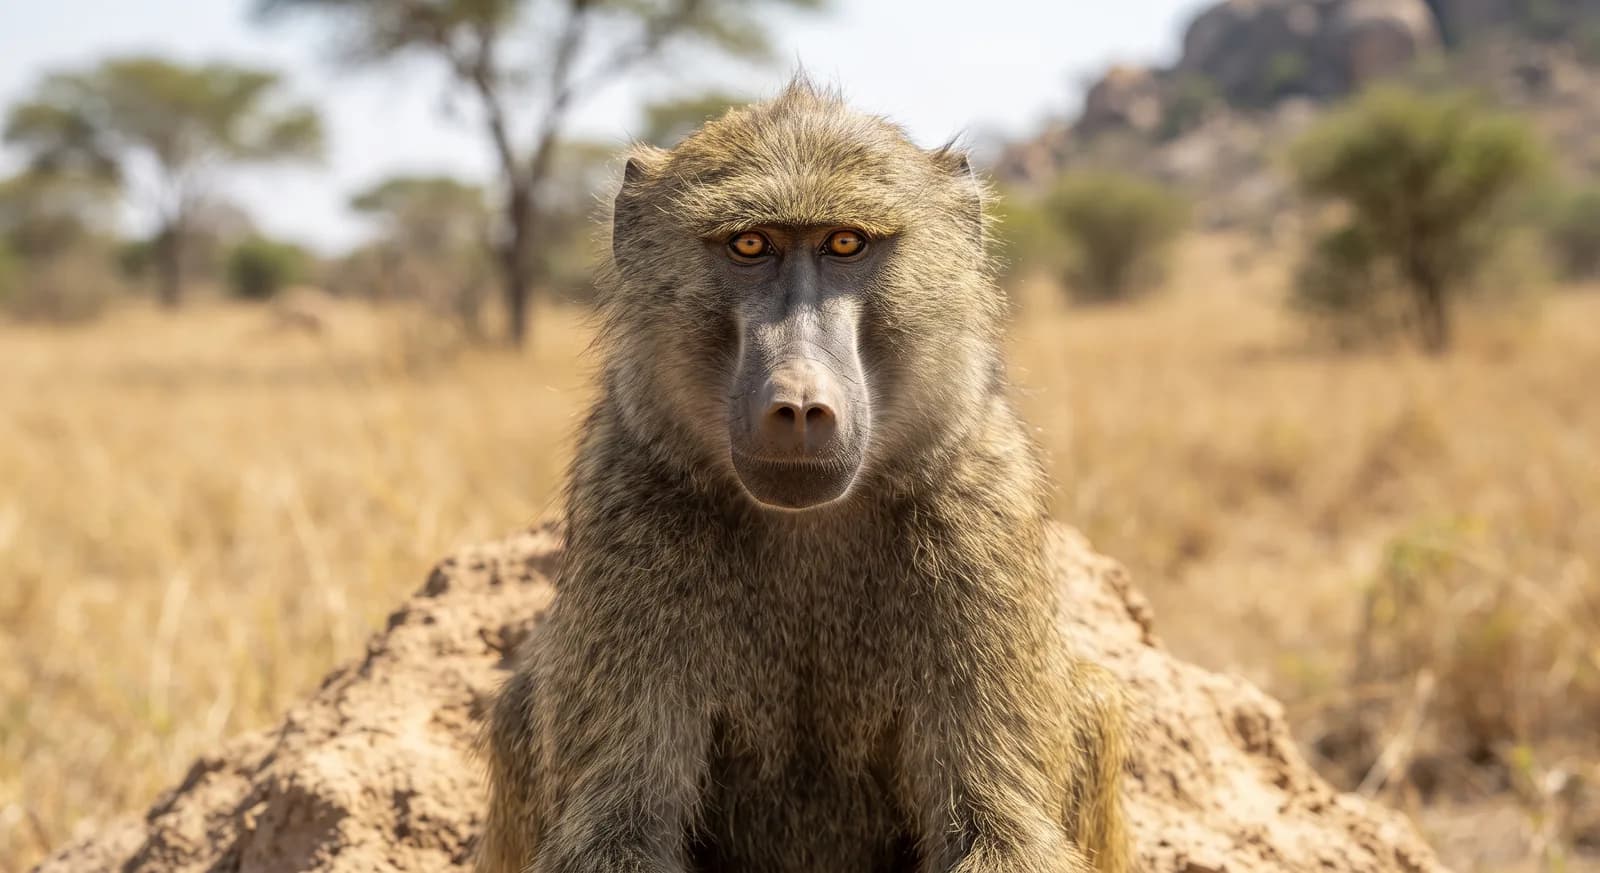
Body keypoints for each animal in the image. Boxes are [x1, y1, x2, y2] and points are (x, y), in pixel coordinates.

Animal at [478, 79, 1130, 873]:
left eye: (845, 243)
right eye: (750, 245)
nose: (796, 404)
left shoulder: (979, 508)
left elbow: (998, 828)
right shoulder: (627, 499)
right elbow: (616, 829)